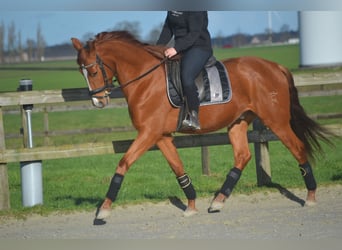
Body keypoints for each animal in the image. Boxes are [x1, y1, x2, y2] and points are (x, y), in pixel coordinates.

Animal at [71, 30, 332, 219]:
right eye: (80, 72)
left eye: (92, 71)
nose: (98, 101)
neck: (145, 79)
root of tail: (275, 66)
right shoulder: (160, 136)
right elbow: (178, 168)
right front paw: (191, 204)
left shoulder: (148, 133)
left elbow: (123, 163)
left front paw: (104, 209)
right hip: (238, 122)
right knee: (243, 156)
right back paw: (218, 201)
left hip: (276, 121)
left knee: (297, 148)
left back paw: (310, 196)